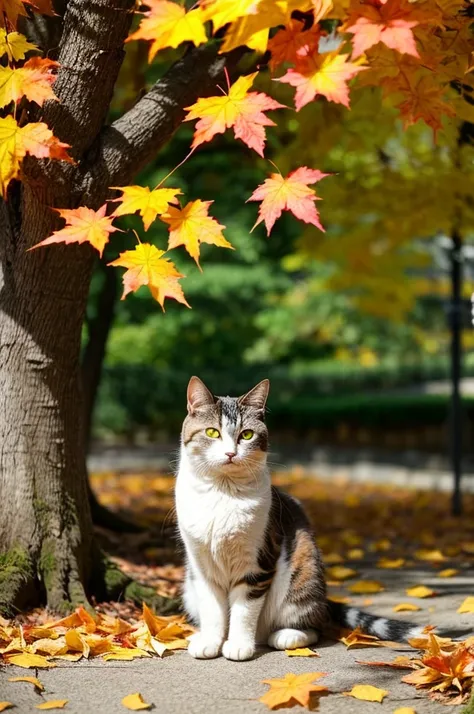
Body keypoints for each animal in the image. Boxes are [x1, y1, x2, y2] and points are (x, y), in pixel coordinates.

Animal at [175, 376, 422, 660]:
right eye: (212, 432)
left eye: (246, 435)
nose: (230, 453)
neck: (221, 493)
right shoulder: (201, 564)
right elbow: (212, 609)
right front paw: (210, 641)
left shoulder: (258, 562)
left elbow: (244, 609)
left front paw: (238, 645)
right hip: (189, 588)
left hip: (303, 572)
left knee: (314, 626)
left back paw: (285, 635)